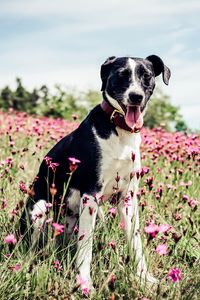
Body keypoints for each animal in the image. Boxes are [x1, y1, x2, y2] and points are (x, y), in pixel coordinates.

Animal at [19, 54, 170, 292]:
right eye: (121, 75)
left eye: (146, 76)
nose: (135, 96)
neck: (120, 130)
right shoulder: (90, 194)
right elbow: (86, 247)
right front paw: (84, 283)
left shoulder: (127, 197)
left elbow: (136, 242)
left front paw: (144, 278)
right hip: (40, 210)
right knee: (32, 248)